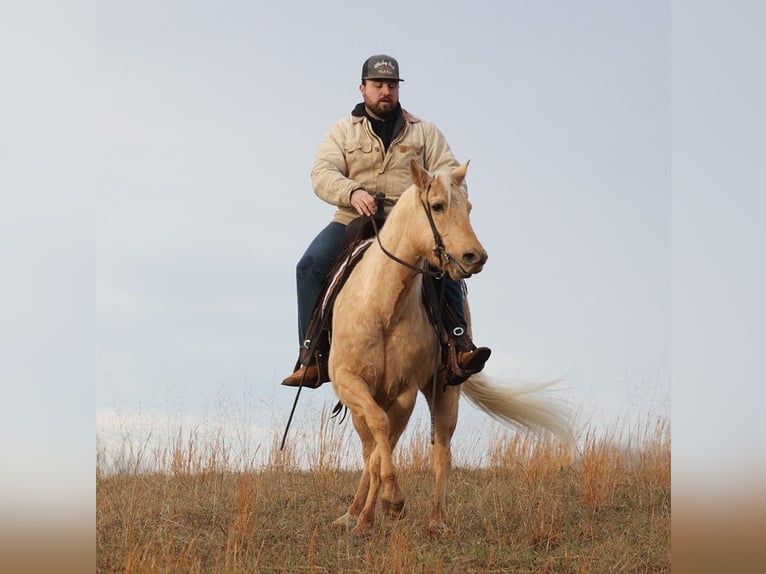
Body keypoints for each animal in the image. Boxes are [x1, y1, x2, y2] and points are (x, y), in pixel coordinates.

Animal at [328, 160, 572, 536]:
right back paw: (356, 514)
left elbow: (385, 445)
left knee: (439, 450)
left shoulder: (405, 390)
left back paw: (434, 521)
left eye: (468, 207)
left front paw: (392, 503)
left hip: (445, 392)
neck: (383, 306)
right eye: (438, 205)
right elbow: (378, 435)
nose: (475, 256)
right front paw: (376, 509)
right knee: (371, 444)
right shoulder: (349, 381)